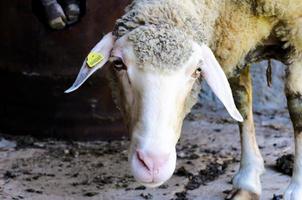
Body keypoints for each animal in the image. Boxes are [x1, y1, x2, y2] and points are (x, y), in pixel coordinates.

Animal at [65, 0, 302, 199]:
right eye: (118, 63)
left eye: (197, 70)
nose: (153, 164)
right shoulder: (237, 38)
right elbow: (241, 103)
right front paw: (248, 180)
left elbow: (296, 110)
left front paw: (296, 188)